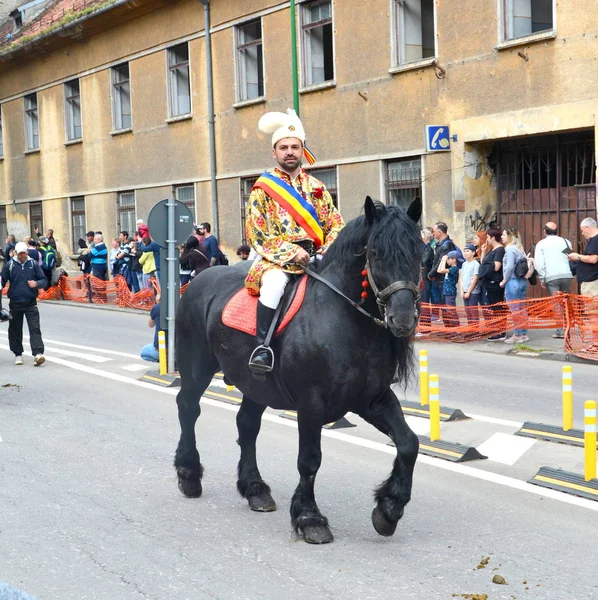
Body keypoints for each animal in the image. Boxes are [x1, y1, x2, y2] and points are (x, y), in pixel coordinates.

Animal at [176, 197, 424, 544]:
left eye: (418, 251)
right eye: (375, 252)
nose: (402, 318)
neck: (347, 322)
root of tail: (198, 280)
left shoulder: (373, 399)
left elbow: (409, 443)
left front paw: (388, 509)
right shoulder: (311, 404)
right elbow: (309, 460)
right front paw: (310, 518)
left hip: (257, 385)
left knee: (246, 424)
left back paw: (255, 489)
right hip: (196, 368)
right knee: (188, 408)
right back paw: (188, 474)